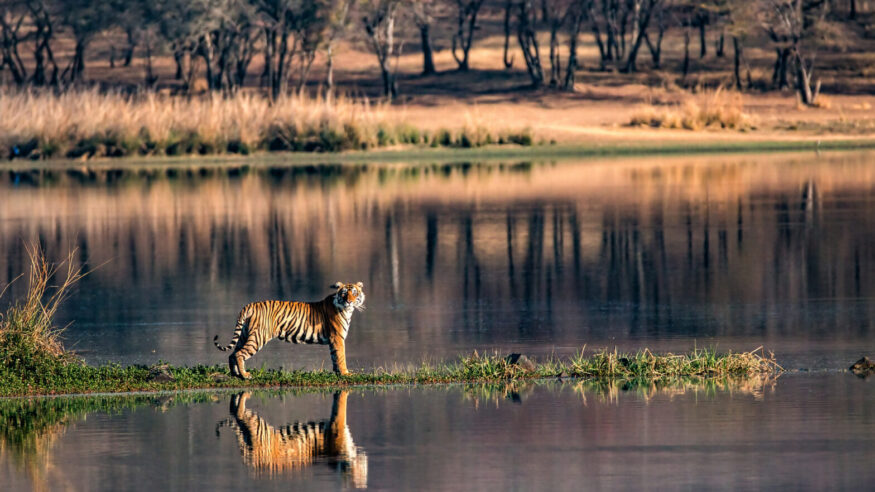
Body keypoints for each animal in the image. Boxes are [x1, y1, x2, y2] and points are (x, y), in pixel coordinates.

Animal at [214, 281, 365, 379]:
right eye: (344, 294)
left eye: (354, 293)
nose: (349, 301)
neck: (347, 310)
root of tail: (250, 305)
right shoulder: (337, 338)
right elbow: (341, 356)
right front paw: (346, 373)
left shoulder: (334, 340)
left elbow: (335, 357)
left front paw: (338, 373)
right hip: (258, 337)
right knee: (240, 354)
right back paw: (245, 375)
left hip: (244, 335)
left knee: (232, 354)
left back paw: (236, 374)